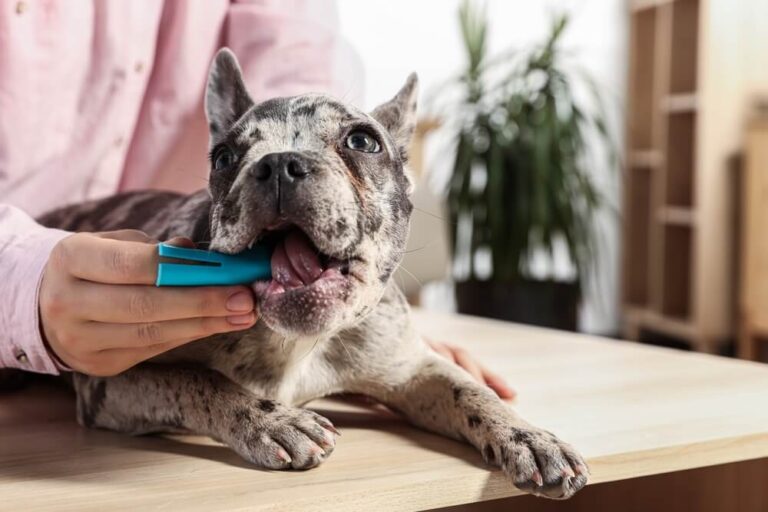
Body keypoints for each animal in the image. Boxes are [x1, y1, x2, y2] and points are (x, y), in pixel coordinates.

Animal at [36, 49, 588, 500]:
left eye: (363, 140)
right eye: (224, 157)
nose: (280, 163)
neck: (290, 343)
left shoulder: (412, 370)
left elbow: (471, 391)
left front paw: (529, 436)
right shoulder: (112, 380)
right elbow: (197, 379)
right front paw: (272, 421)